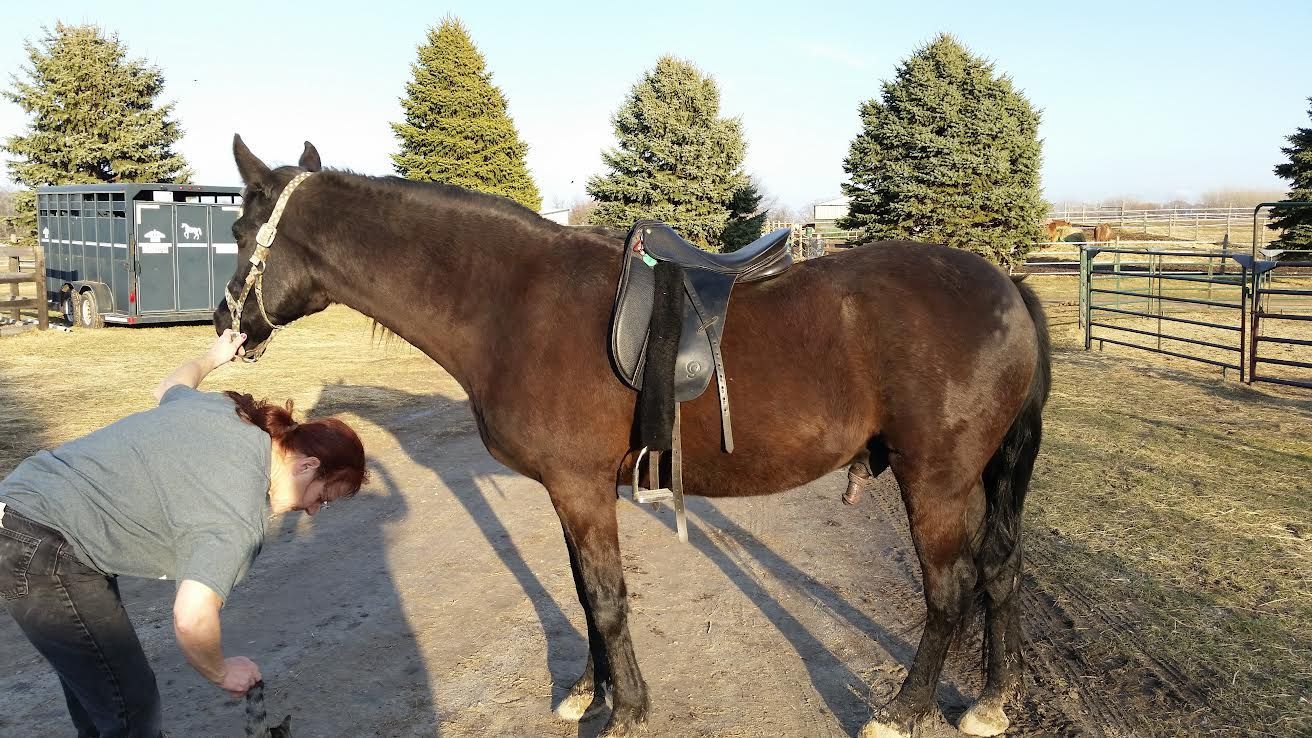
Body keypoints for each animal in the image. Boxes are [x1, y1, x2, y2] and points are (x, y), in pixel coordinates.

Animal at [216, 136, 1051, 738]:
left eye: (240, 228)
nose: (227, 323)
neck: (510, 302)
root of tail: (1007, 286)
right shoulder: (571, 489)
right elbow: (585, 596)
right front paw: (589, 692)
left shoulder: (581, 488)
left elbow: (607, 597)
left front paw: (628, 711)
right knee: (1001, 572)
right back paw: (988, 704)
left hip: (935, 477)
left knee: (949, 589)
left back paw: (903, 712)